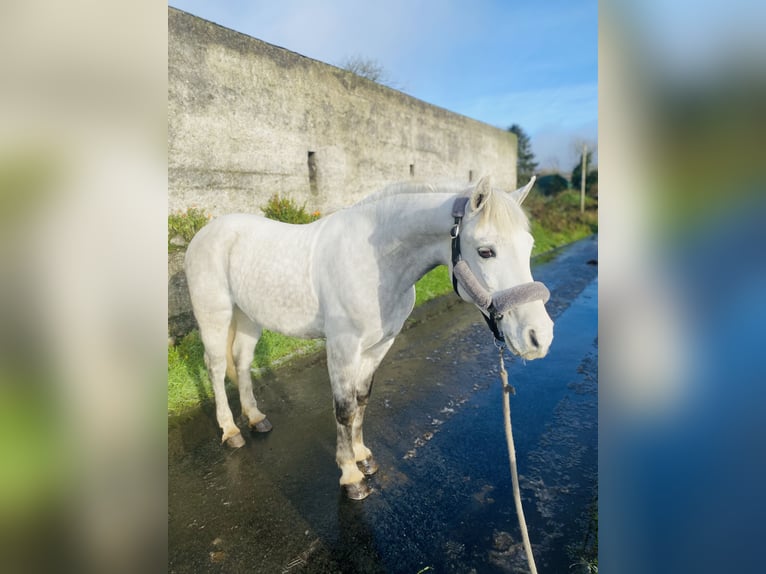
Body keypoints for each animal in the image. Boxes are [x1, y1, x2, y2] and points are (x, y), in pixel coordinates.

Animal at [188, 179, 556, 500]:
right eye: (485, 251)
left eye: (529, 246)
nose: (539, 337)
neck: (376, 262)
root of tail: (206, 233)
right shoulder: (342, 347)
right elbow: (345, 409)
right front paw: (351, 477)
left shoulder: (379, 346)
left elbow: (362, 400)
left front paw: (363, 457)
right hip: (216, 316)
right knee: (217, 368)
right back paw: (231, 431)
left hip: (249, 318)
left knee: (242, 362)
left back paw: (255, 418)